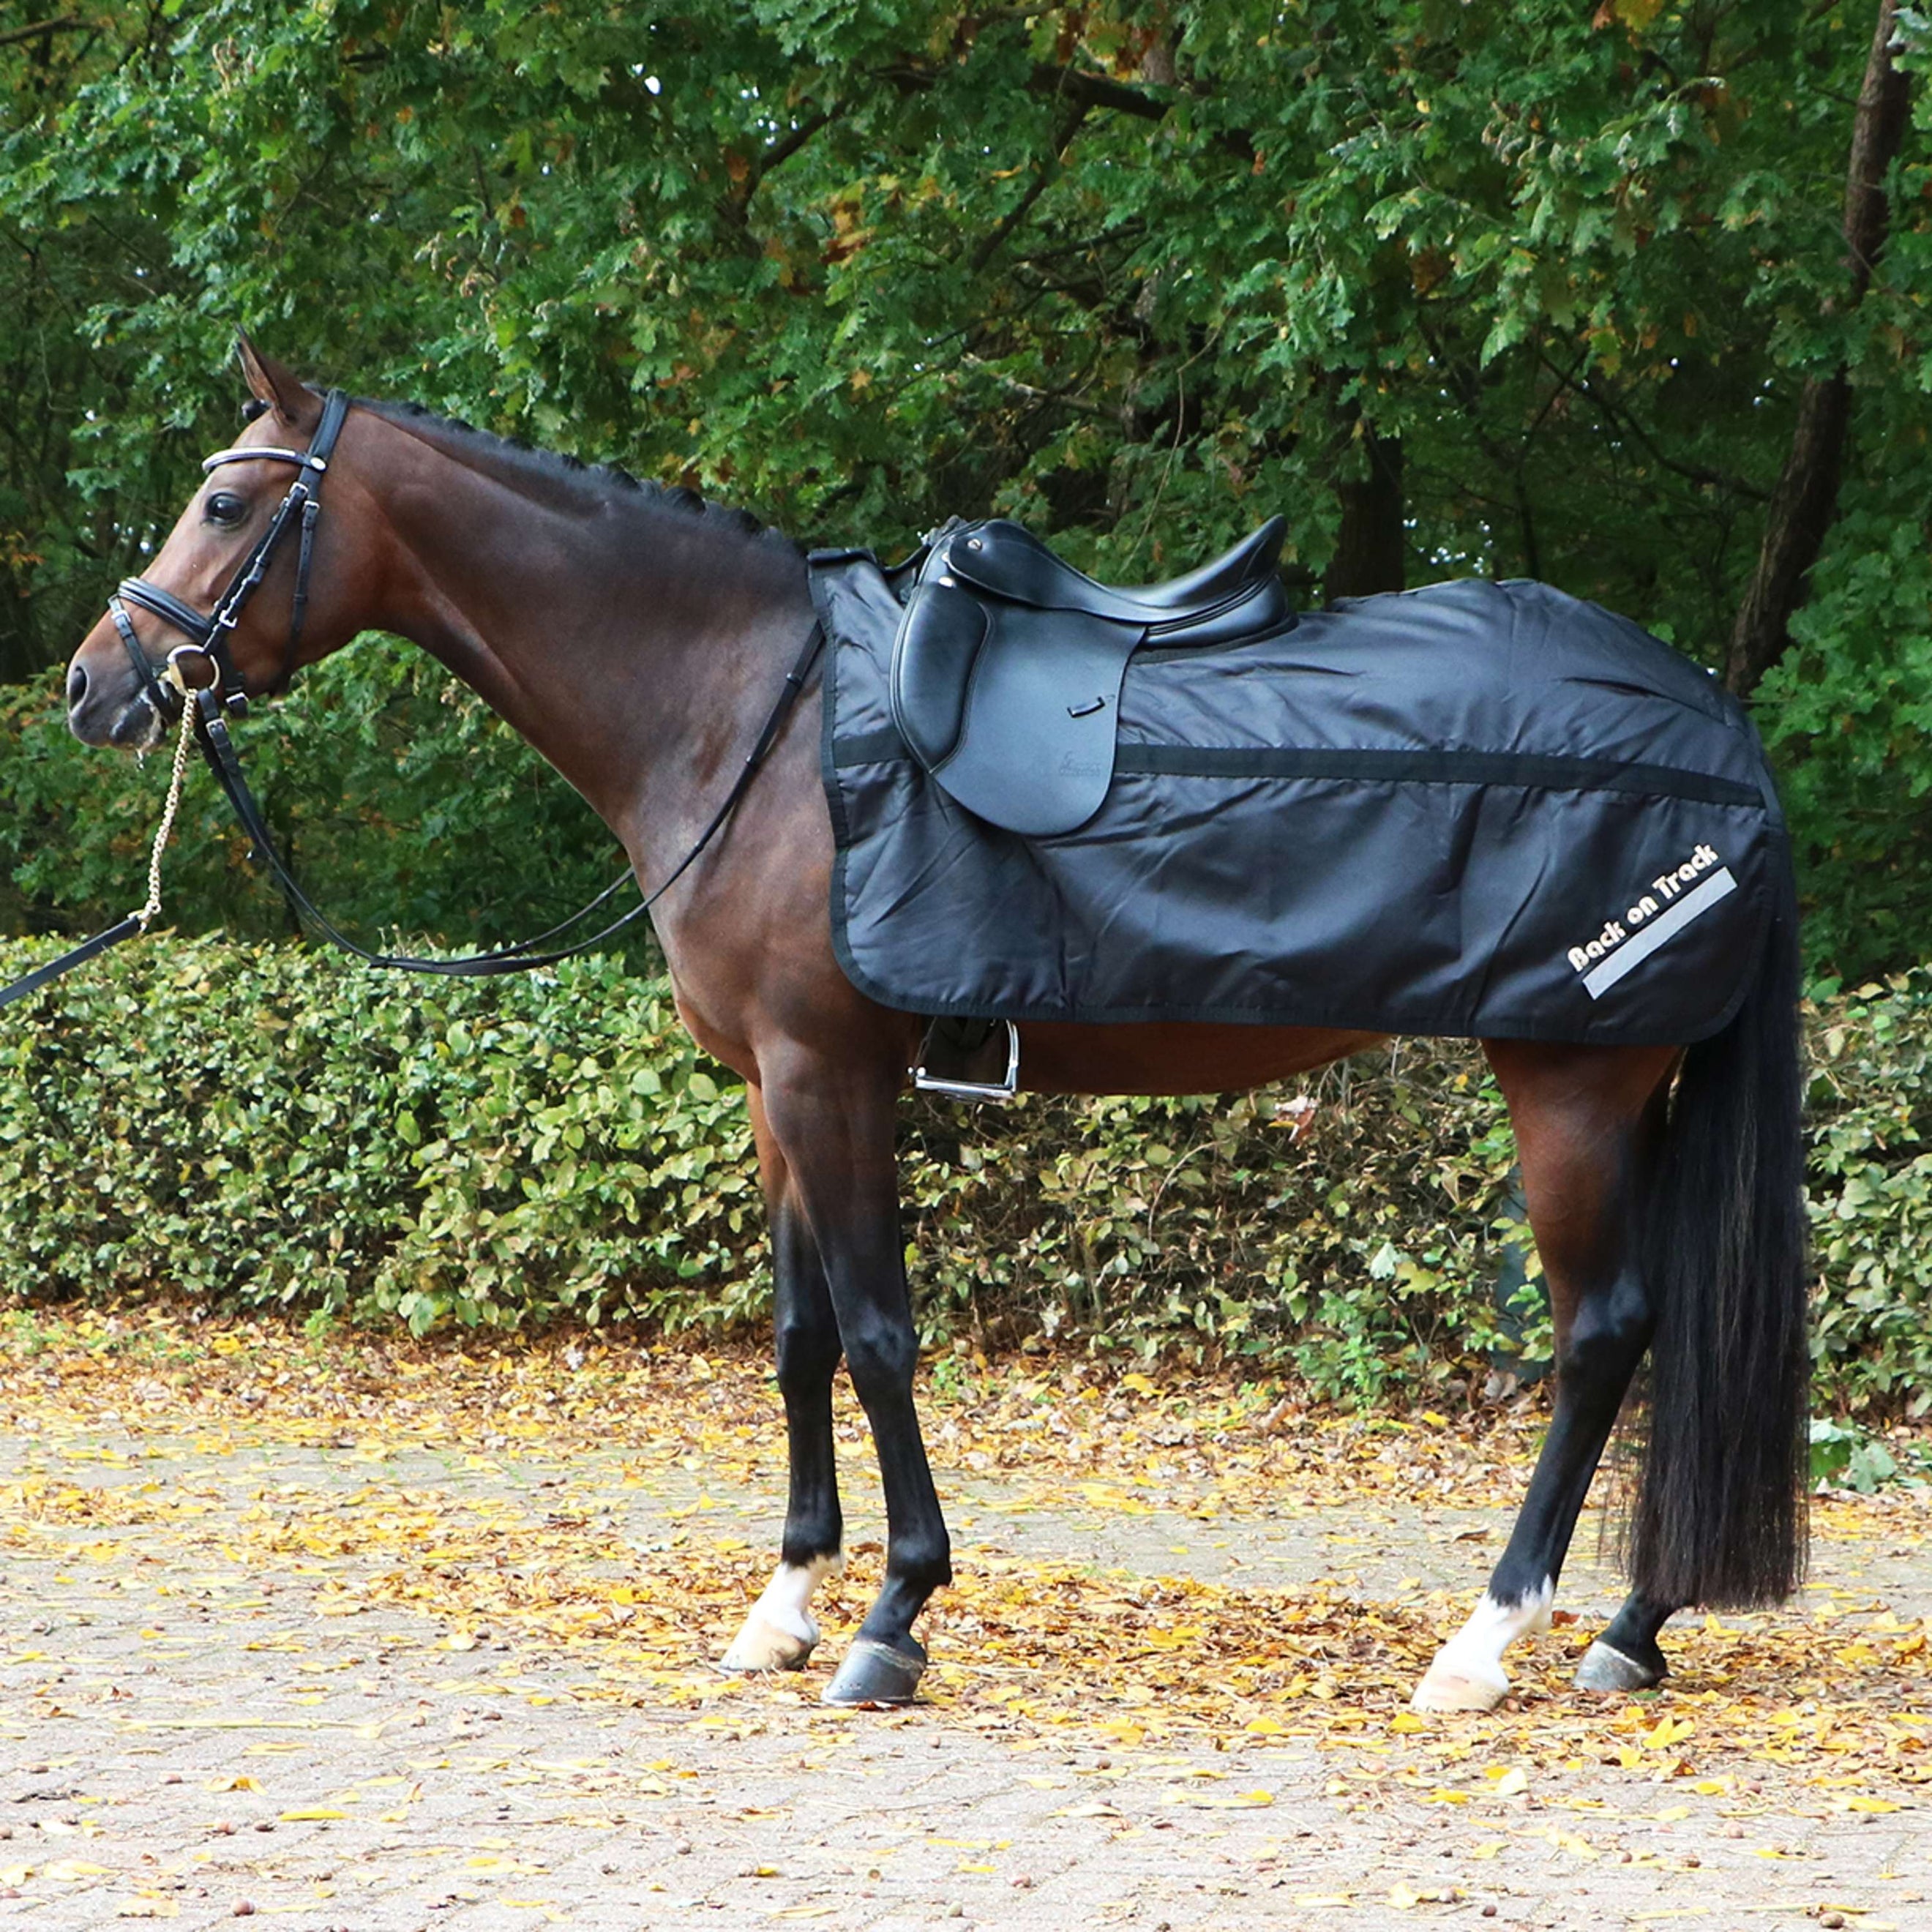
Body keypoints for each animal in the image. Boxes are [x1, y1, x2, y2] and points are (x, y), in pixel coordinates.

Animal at [64, 343, 1808, 1707]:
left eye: (228, 505)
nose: (98, 684)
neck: (745, 714)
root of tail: (1719, 732)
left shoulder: (828, 1078)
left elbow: (884, 1337)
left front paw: (893, 1618)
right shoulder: (772, 1093)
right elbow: (800, 1340)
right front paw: (783, 1605)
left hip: (1570, 1088)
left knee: (1602, 1335)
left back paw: (1491, 1639)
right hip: (1631, 1092)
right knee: (1663, 1335)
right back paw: (1633, 1629)